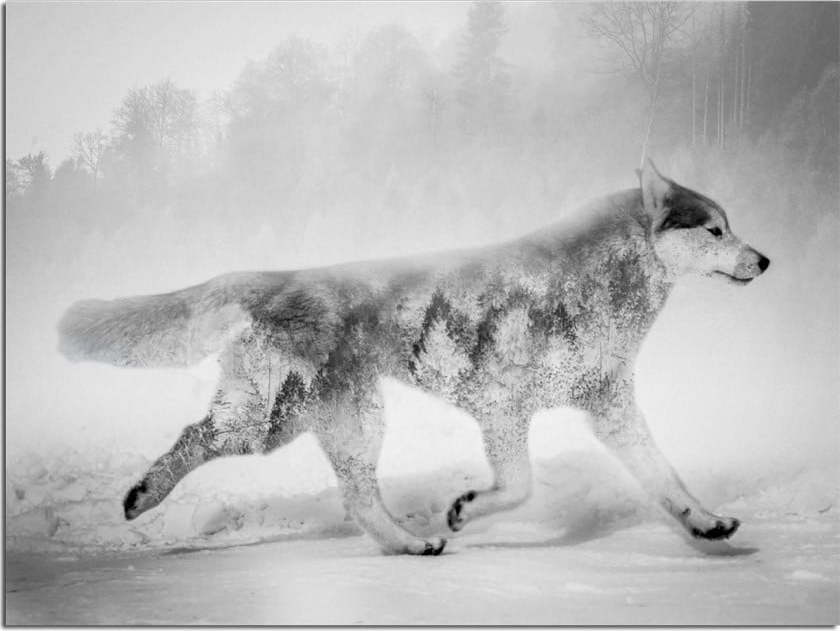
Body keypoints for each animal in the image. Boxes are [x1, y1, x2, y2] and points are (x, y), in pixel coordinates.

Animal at [58, 160, 770, 555]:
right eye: (715, 230)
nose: (765, 260)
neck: (598, 288)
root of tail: (276, 278)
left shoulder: (611, 408)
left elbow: (667, 479)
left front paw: (706, 525)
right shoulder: (500, 406)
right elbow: (520, 487)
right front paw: (463, 508)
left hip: (313, 420)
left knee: (338, 493)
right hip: (290, 421)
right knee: (203, 440)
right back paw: (144, 497)